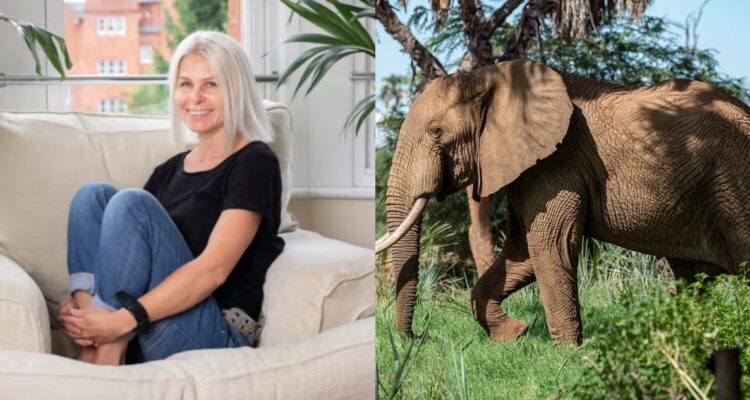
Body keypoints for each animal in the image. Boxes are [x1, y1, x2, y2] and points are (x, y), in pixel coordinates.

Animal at [375, 59, 750, 344]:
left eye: (436, 132)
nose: (421, 338)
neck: (490, 76)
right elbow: (523, 252)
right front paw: (514, 335)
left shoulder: (558, 163)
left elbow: (550, 244)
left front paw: (568, 355)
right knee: (691, 275)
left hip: (733, 179)